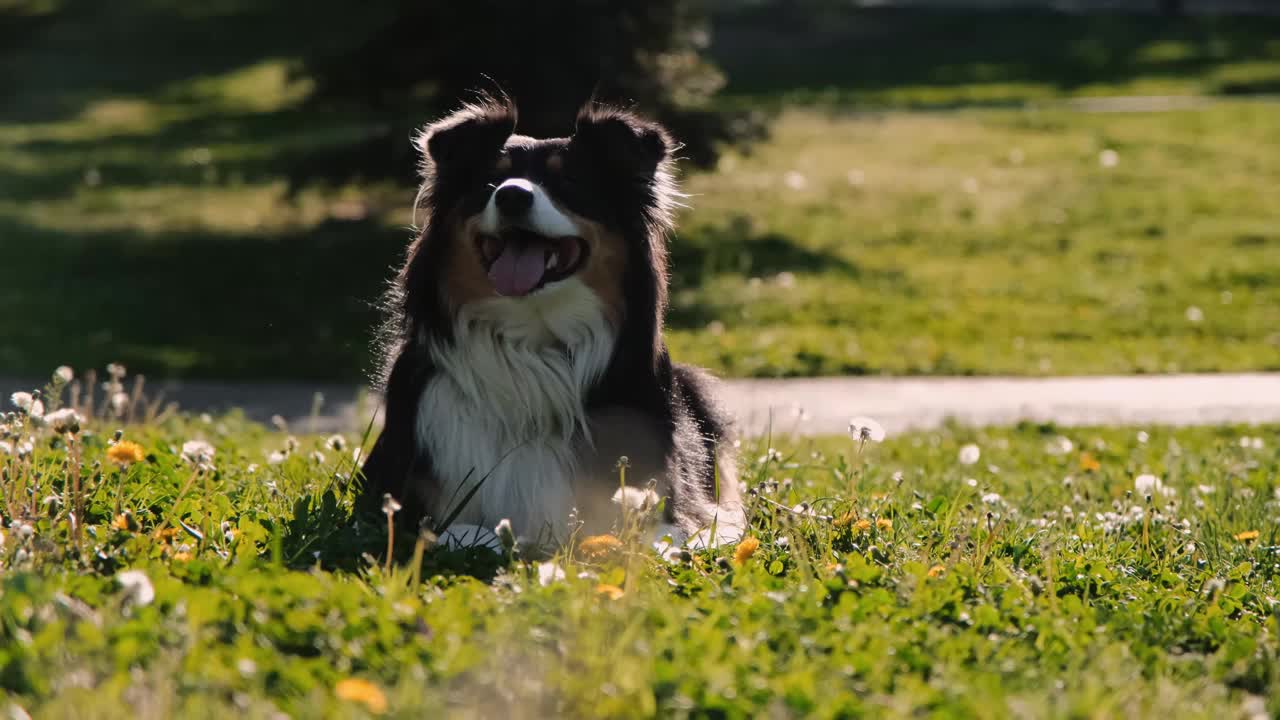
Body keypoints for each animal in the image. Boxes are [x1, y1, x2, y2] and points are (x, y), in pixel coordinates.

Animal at [355, 92, 747, 545]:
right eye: (492, 180)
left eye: (570, 182)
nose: (511, 196)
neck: (533, 341)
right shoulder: (394, 503)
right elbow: (465, 532)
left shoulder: (675, 502)